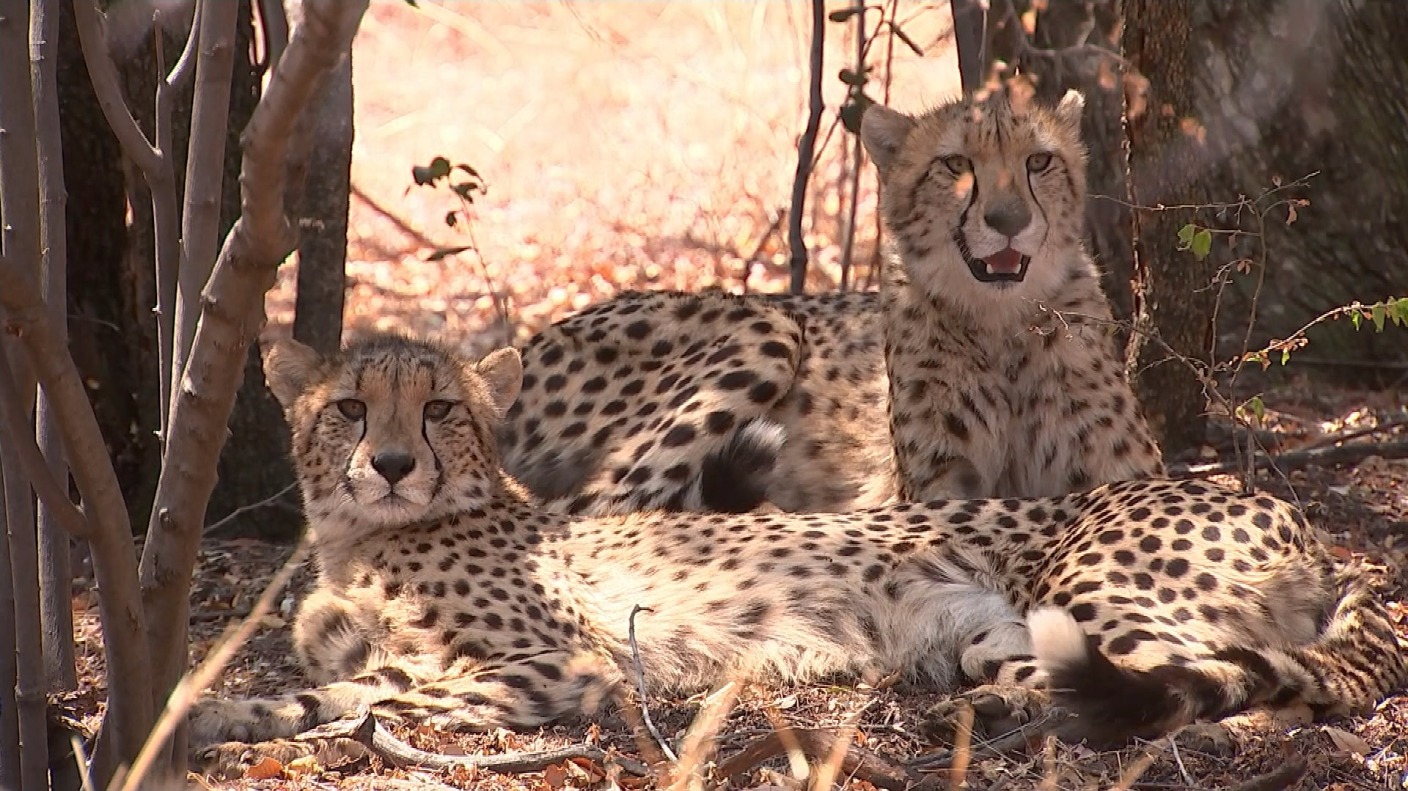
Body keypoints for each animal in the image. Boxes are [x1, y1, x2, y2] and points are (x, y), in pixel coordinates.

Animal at [189, 333, 1406, 771]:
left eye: (440, 407)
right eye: (349, 408)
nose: (393, 462)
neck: (367, 538)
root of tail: (1284, 506)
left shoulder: (566, 659)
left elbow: (369, 689)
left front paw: (220, 718)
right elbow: (336, 664)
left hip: (1097, 592)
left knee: (1220, 695)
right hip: (994, 633)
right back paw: (990, 712)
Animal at [497, 86, 1163, 518]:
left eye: (1039, 160)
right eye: (954, 164)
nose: (1007, 221)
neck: (1002, 328)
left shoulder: (1127, 475)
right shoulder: (937, 488)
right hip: (768, 327)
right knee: (589, 515)